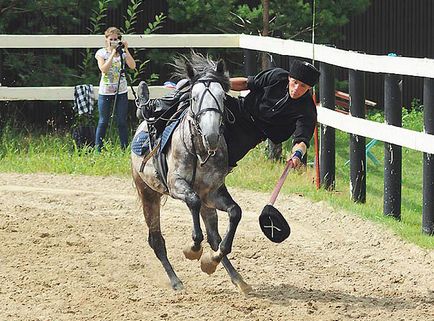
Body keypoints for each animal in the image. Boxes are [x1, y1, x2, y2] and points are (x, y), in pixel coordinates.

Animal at [130, 52, 251, 292]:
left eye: (222, 97)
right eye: (194, 98)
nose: (211, 135)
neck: (199, 152)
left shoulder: (212, 193)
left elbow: (235, 212)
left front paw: (209, 258)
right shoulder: (177, 185)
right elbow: (192, 202)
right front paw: (193, 249)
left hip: (206, 203)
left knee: (214, 237)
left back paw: (234, 277)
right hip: (148, 193)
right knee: (156, 240)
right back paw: (176, 281)